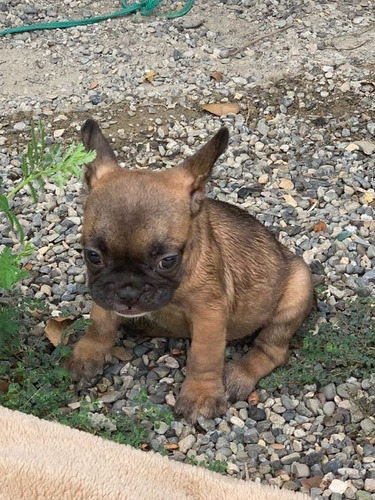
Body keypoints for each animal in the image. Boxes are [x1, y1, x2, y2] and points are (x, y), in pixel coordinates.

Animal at [68, 120, 314, 422]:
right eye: (92, 256)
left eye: (168, 261)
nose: (128, 292)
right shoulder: (103, 291)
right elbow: (100, 322)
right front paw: (88, 354)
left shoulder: (209, 314)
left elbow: (203, 357)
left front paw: (200, 394)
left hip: (296, 291)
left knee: (272, 349)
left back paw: (240, 374)